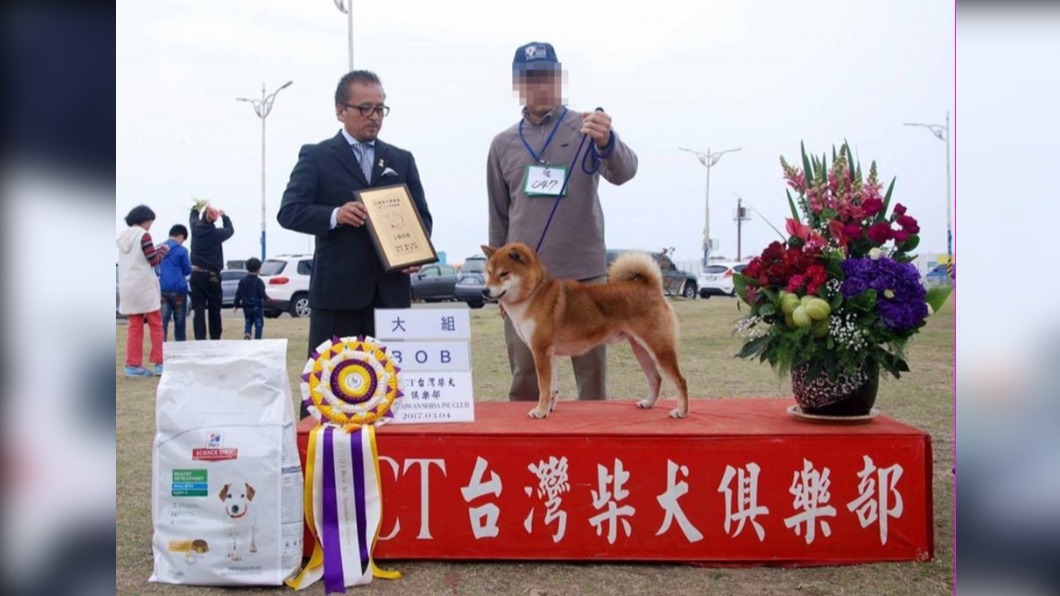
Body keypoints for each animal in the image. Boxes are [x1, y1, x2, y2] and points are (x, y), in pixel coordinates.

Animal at [479, 241, 686, 417]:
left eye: (504, 273)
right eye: (488, 272)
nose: (484, 291)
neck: (534, 294)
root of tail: (651, 287)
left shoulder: (540, 351)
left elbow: (543, 387)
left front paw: (539, 412)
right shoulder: (549, 354)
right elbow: (552, 388)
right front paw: (548, 410)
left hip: (659, 348)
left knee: (680, 380)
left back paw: (681, 412)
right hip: (640, 349)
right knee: (656, 378)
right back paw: (648, 403)